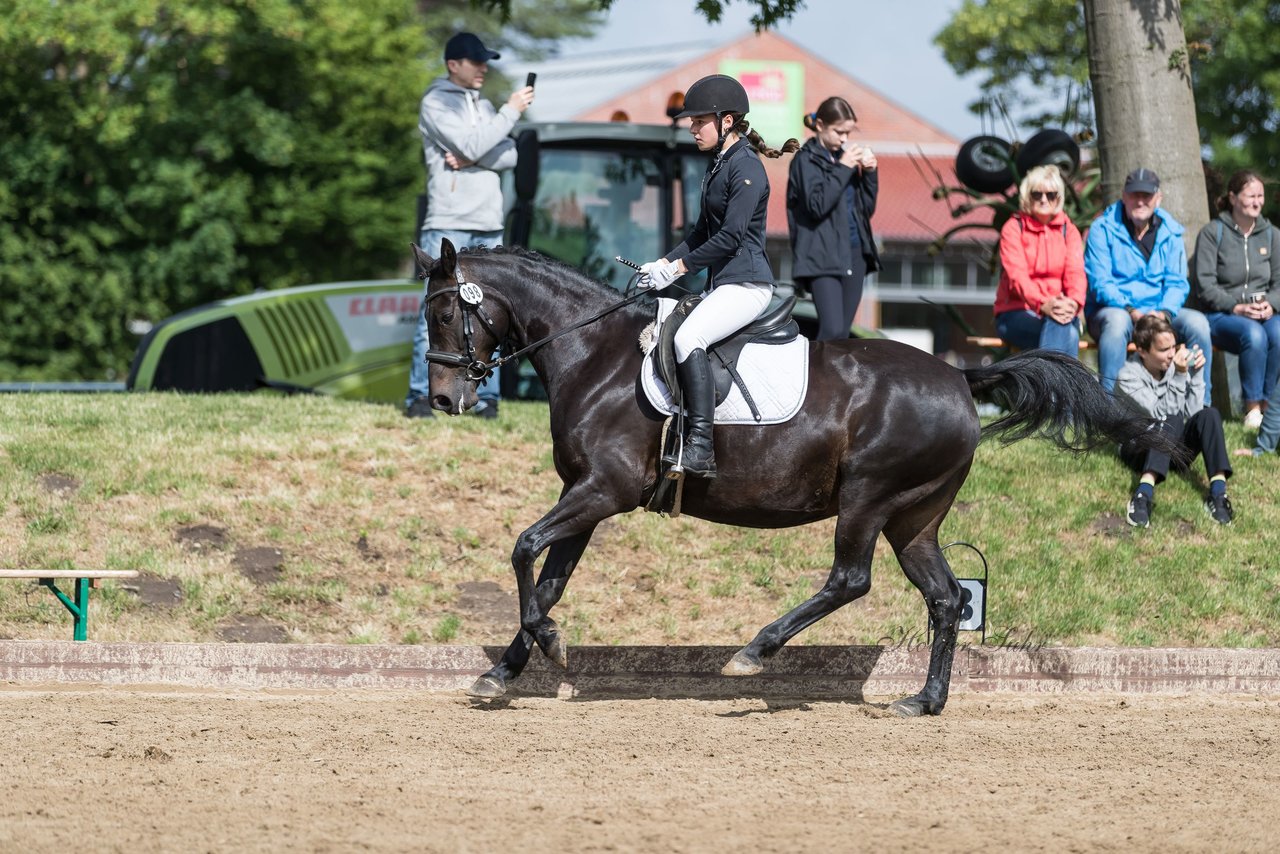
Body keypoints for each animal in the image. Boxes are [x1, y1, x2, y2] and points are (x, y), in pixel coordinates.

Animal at [414, 240, 1172, 717]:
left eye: (445, 313)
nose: (445, 400)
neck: (594, 353)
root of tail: (962, 377)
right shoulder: (586, 495)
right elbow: (546, 578)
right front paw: (506, 668)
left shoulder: (604, 490)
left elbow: (523, 547)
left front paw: (547, 644)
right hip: (914, 517)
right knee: (947, 597)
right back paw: (924, 701)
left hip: (869, 497)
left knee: (851, 579)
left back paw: (754, 652)